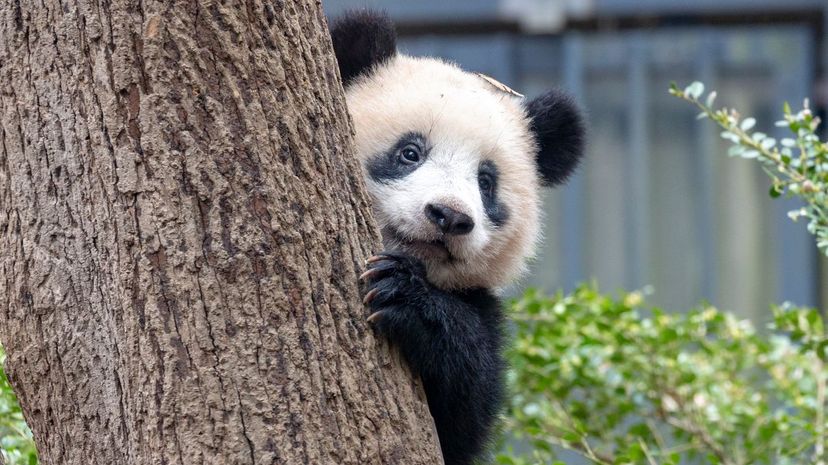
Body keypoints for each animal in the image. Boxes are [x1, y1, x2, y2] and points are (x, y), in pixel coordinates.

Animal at [329, 11, 585, 465]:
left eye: (485, 182)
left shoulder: (481, 307)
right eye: (410, 152)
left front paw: (407, 297)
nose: (449, 217)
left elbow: (466, 407)